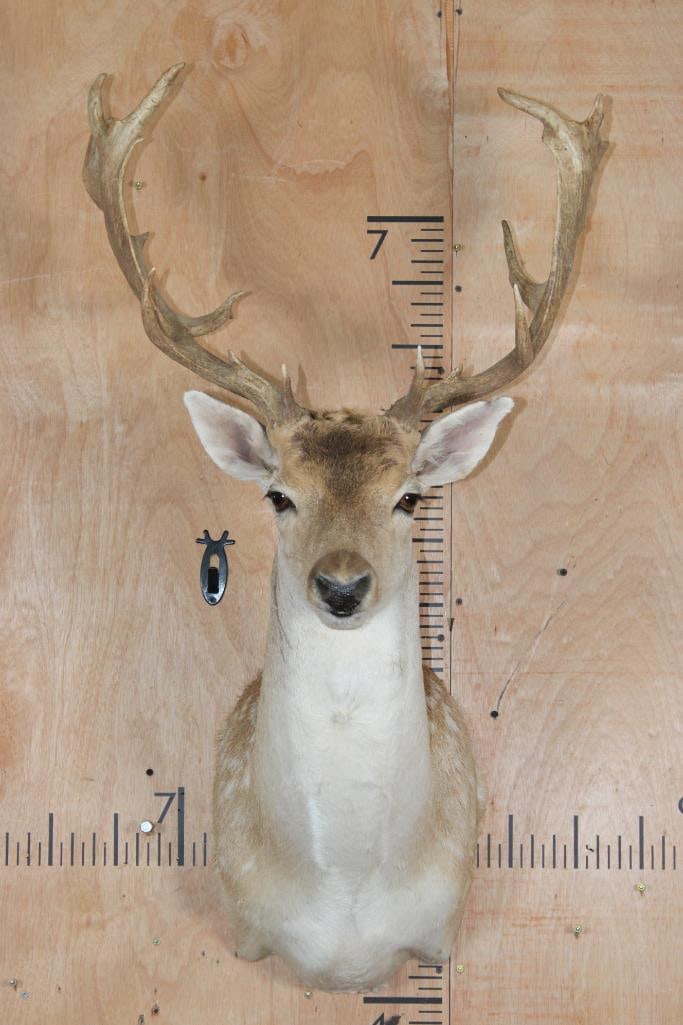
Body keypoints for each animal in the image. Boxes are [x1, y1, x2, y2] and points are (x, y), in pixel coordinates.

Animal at [83, 63, 606, 993]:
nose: (340, 585)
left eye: (409, 499)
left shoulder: (443, 929)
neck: (347, 887)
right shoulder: (245, 931)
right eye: (277, 496)